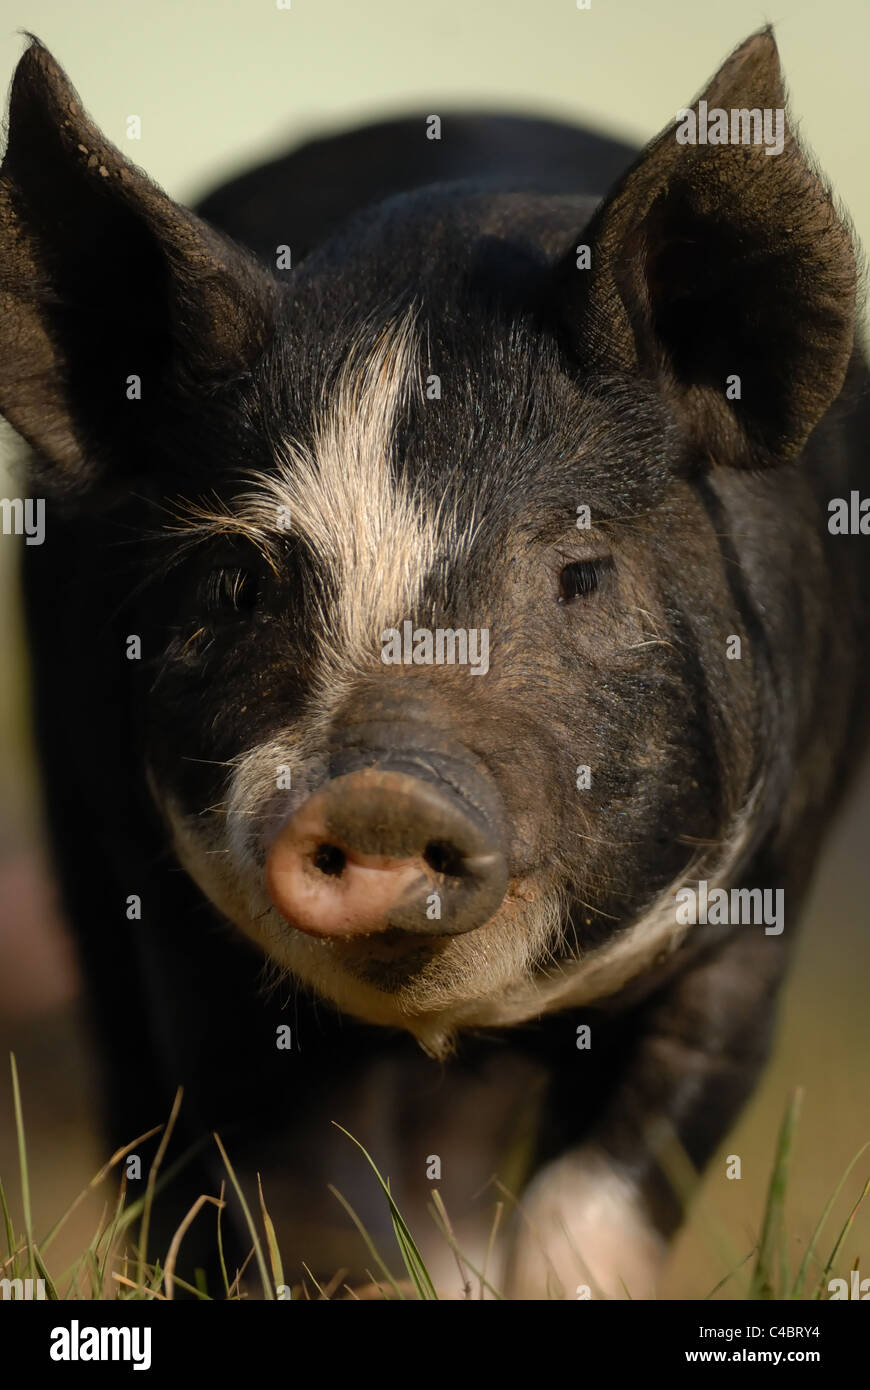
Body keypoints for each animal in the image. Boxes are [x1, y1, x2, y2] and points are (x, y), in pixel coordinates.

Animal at [1, 27, 868, 1298]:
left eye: (584, 571)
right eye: (236, 583)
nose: (380, 789)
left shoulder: (757, 919)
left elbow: (604, 1188)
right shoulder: (189, 933)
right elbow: (302, 1197)